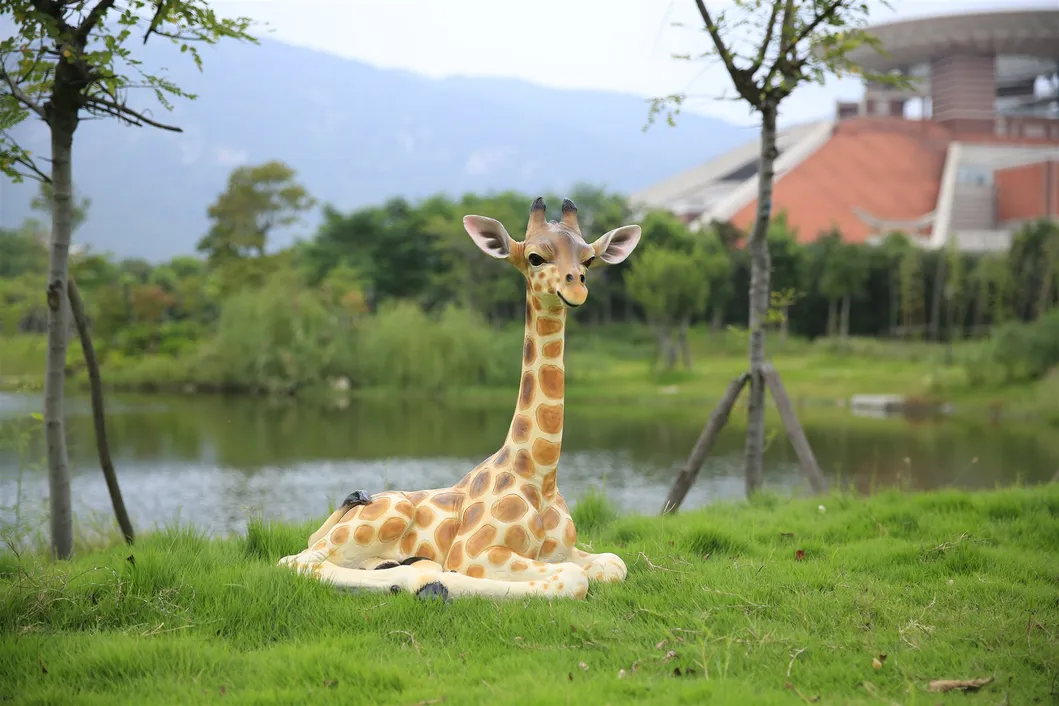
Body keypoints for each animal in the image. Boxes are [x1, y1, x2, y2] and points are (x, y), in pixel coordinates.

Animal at [278, 196, 642, 600]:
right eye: (535, 257)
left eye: (589, 259)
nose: (576, 288)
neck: (540, 475)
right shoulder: (474, 552)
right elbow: (573, 579)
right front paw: (440, 579)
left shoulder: (564, 549)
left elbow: (614, 563)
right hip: (384, 517)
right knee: (297, 561)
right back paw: (417, 577)